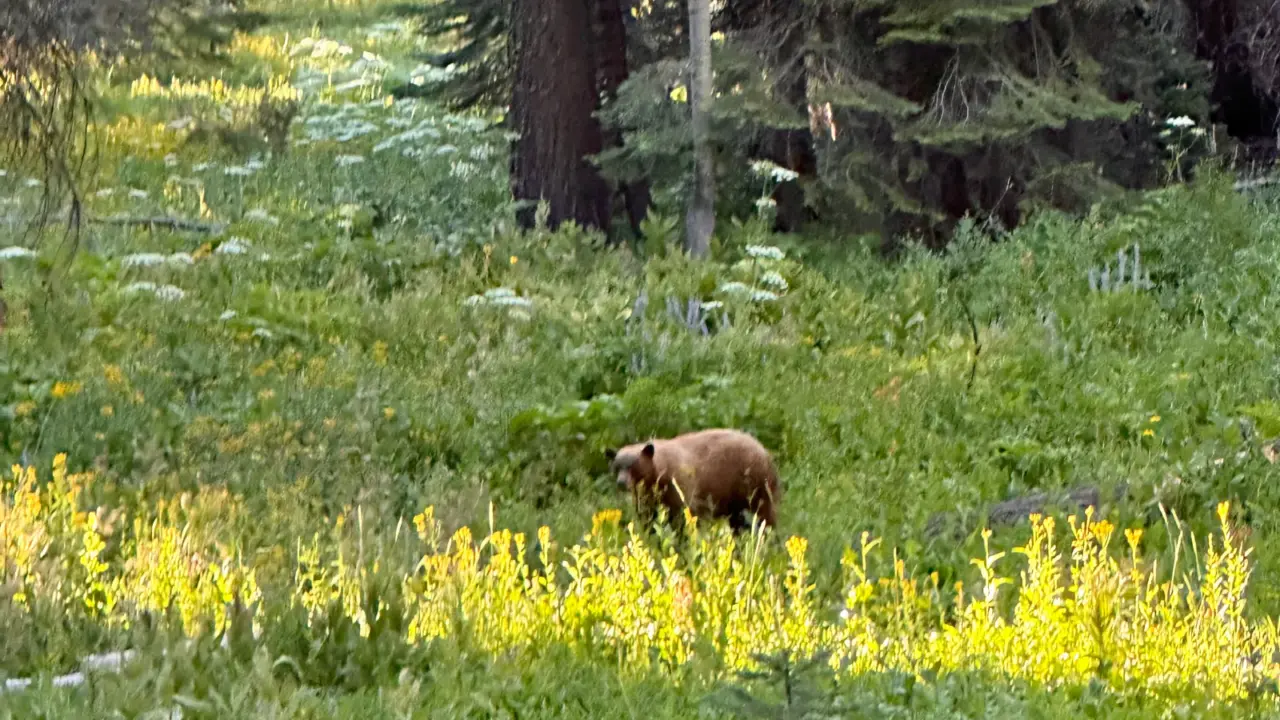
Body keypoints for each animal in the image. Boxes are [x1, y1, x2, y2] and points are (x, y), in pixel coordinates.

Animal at [604, 428, 780, 534]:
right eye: (617, 466)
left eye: (633, 465)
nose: (621, 483)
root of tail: (764, 451)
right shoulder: (647, 495)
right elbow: (646, 515)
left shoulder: (678, 485)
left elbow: (682, 515)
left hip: (755, 483)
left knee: (765, 512)